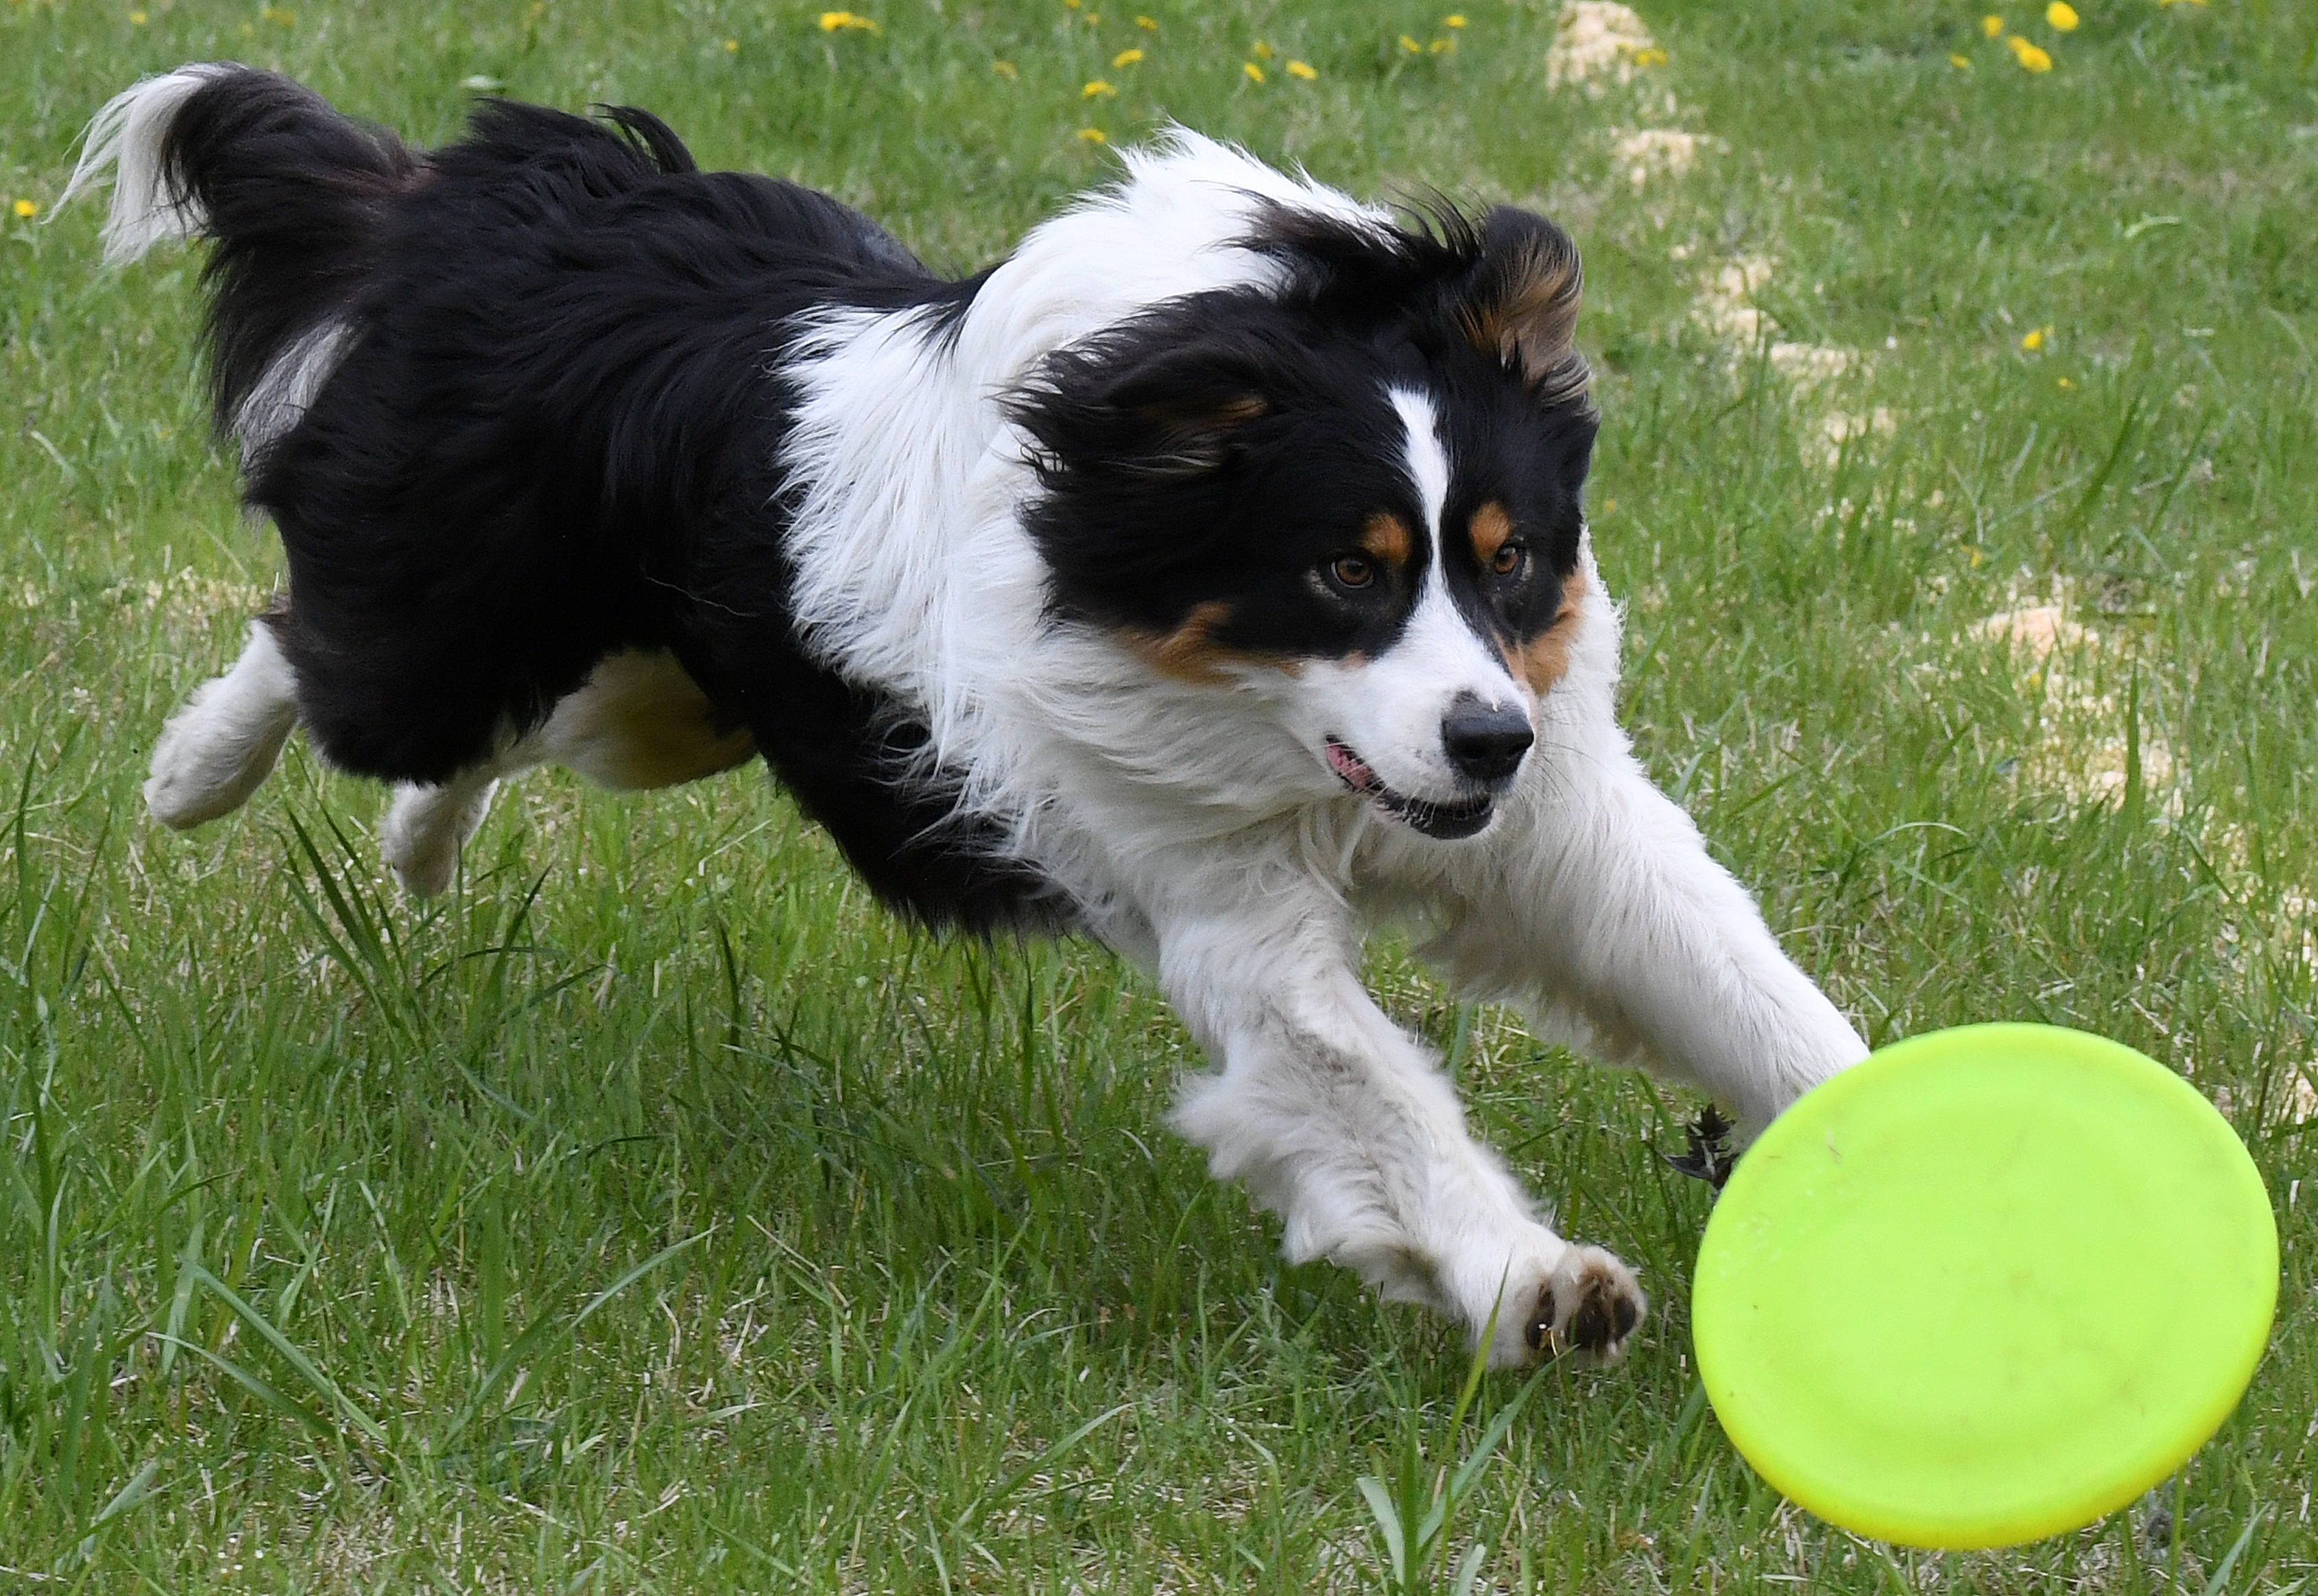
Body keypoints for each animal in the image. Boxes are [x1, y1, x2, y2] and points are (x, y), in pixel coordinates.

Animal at [77, 68, 1863, 1363]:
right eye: (1341, 572)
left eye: (1511, 561)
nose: (1490, 740)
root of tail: (549, 191)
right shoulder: (1211, 890)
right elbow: (1364, 1081)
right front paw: (1525, 1275)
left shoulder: (1555, 821)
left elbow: (1740, 982)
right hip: (455, 616)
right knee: (329, 654)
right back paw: (191, 775)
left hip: (679, 696)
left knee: (520, 729)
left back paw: (417, 851)